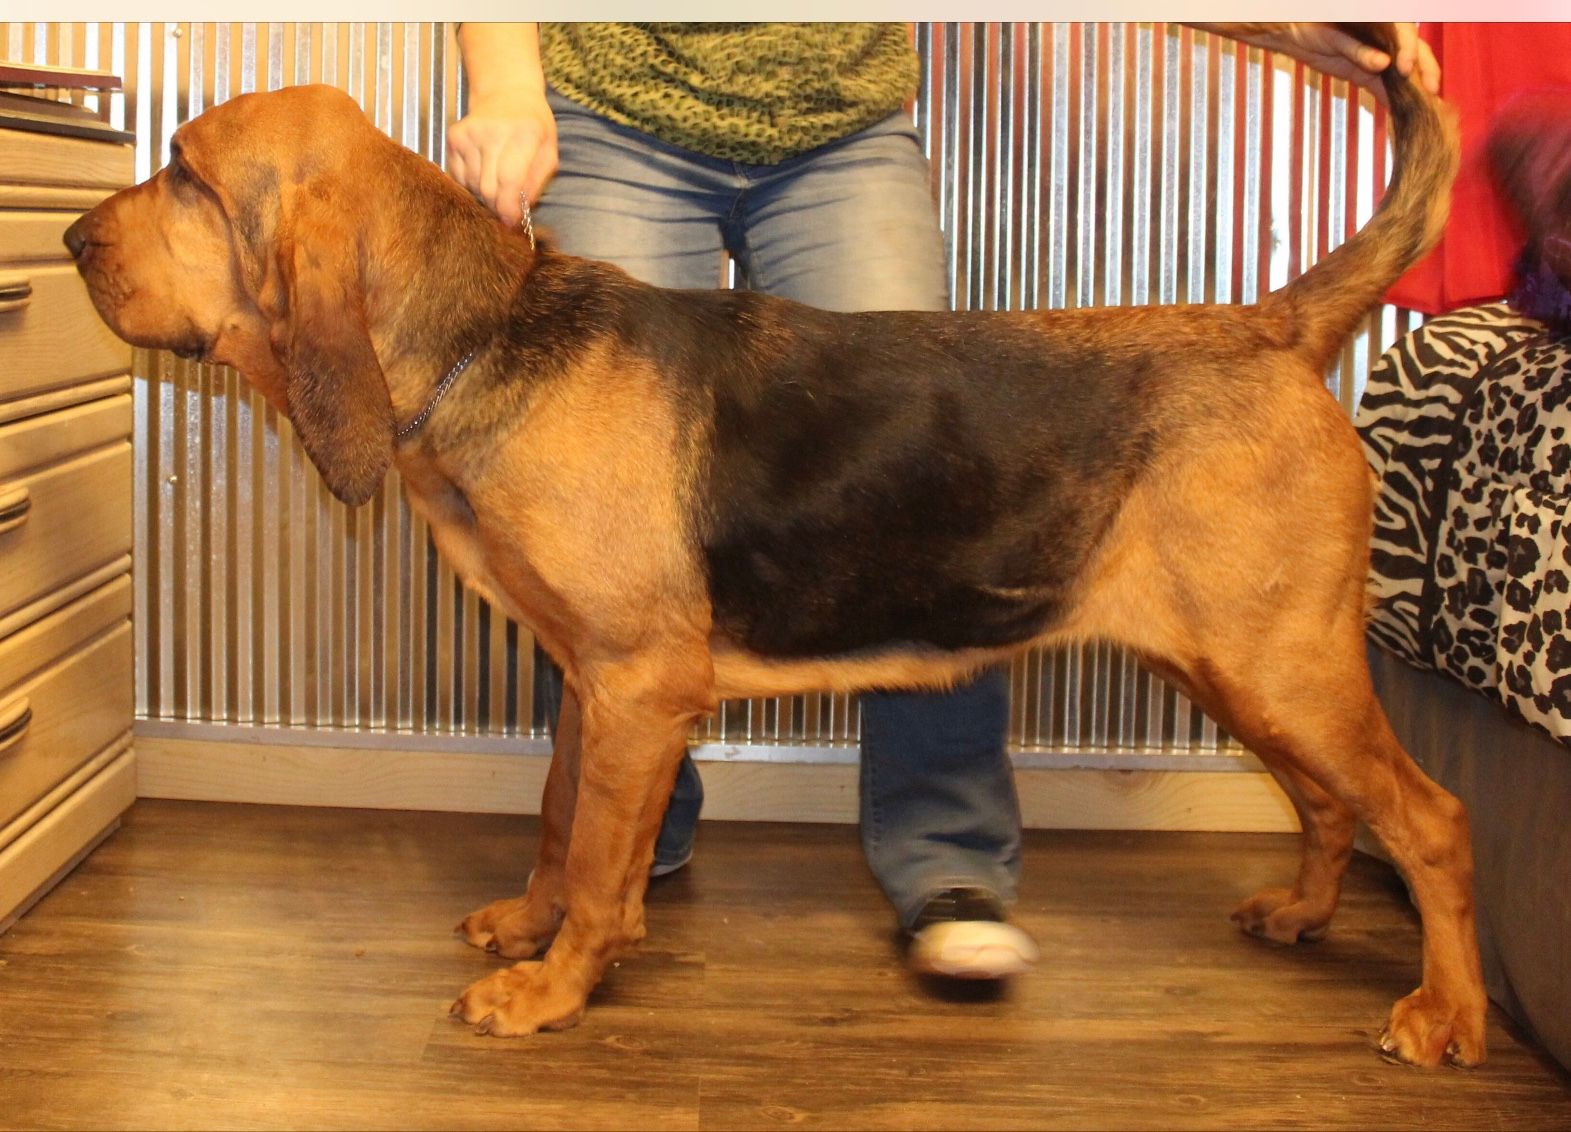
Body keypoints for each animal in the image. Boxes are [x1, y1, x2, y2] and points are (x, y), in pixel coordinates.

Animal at [65, 23, 1484, 1067]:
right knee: (1326, 803)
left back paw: (1445, 1014)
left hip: (1281, 665)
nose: (74, 240)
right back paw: (1300, 912)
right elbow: (560, 825)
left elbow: (598, 863)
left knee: (1428, 818)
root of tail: (1270, 323)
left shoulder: (639, 684)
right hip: (1241, 671)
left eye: (185, 170)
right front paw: (532, 929)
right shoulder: (591, 683)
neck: (485, 334)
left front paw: (552, 989)